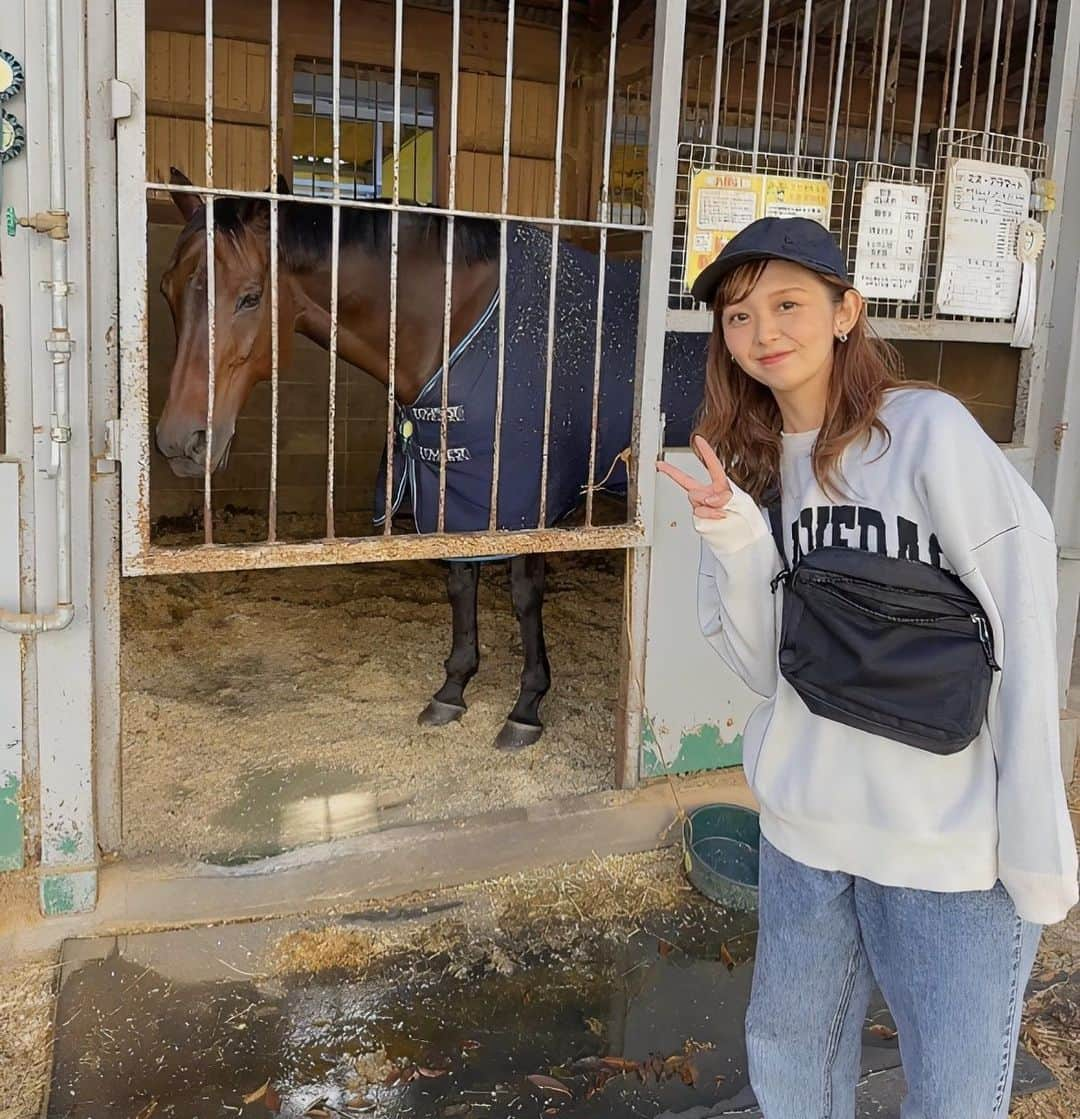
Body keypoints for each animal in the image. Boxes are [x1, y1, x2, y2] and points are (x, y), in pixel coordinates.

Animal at [157, 167, 698, 751]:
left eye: (250, 297)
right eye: (167, 290)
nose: (181, 442)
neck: (456, 319)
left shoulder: (522, 497)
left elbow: (524, 594)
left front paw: (526, 706)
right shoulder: (449, 483)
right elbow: (459, 581)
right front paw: (452, 690)